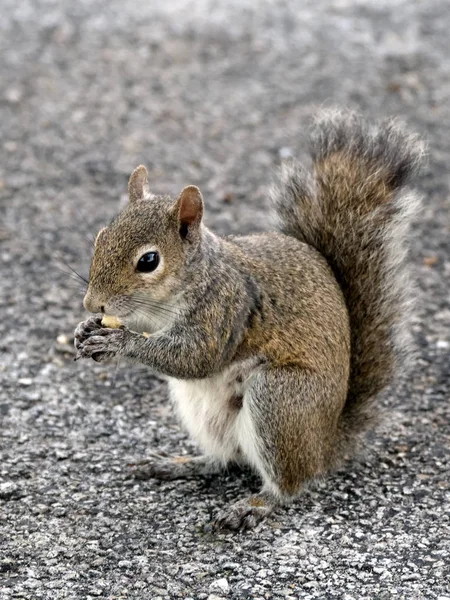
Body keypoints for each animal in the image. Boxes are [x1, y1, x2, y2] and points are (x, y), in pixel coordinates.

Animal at [74, 109, 426, 528]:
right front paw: (86, 331)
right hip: (202, 413)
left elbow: (195, 358)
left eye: (148, 261)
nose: (92, 304)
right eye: (100, 236)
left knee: (290, 483)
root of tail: (327, 443)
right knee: (225, 459)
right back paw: (179, 464)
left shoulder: (227, 307)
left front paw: (118, 342)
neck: (191, 279)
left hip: (279, 399)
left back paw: (255, 503)